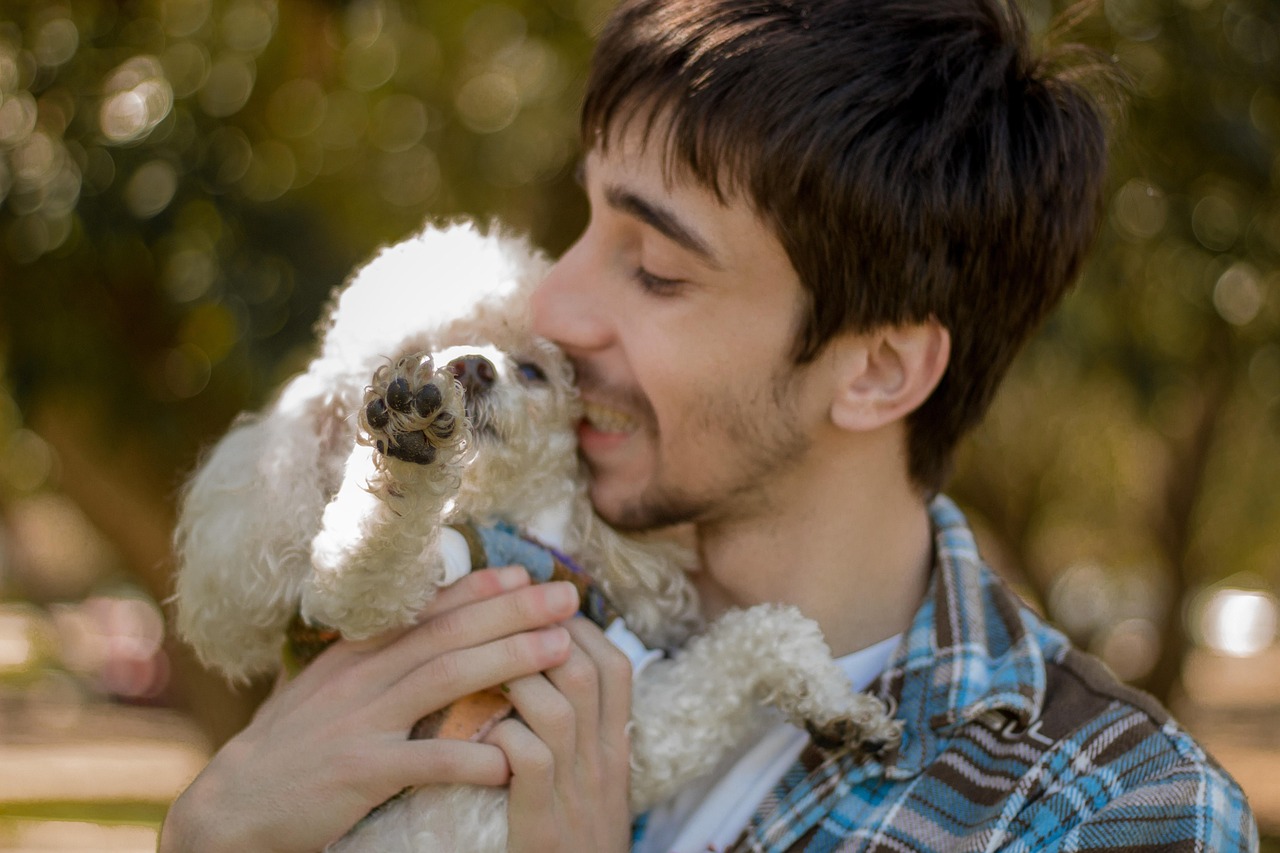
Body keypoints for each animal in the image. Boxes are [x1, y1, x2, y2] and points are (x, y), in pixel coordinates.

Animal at [172, 219, 901, 850]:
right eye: (414, 355)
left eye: (532, 369)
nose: (470, 368)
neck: (500, 525)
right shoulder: (347, 604)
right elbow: (368, 548)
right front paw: (409, 450)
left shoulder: (632, 730)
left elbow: (762, 631)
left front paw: (845, 711)